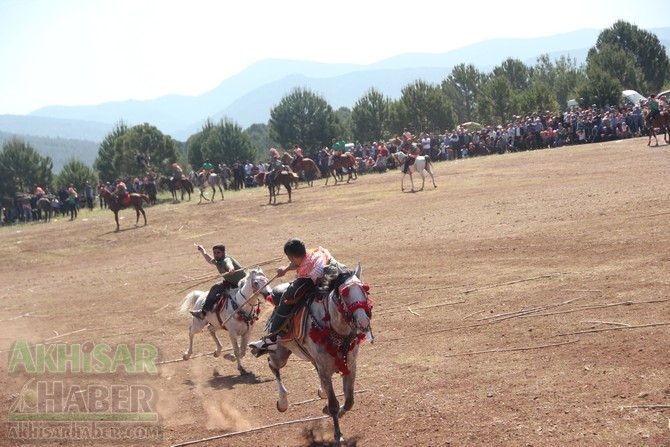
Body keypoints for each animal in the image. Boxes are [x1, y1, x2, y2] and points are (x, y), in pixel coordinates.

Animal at [255, 264, 376, 442]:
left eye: (365, 291)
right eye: (344, 293)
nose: (363, 321)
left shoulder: (350, 366)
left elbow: (349, 401)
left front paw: (337, 412)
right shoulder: (325, 369)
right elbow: (333, 405)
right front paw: (337, 433)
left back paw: (320, 391)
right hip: (280, 353)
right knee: (273, 366)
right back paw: (283, 401)